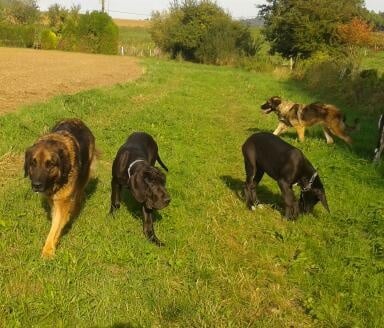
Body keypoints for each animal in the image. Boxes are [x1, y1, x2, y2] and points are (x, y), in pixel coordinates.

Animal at [24, 118, 95, 258]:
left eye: (50, 164)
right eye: (33, 163)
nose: (36, 185)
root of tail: (78, 120)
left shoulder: (62, 203)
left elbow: (55, 227)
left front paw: (48, 251)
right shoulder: (52, 200)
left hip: (84, 175)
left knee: (79, 194)